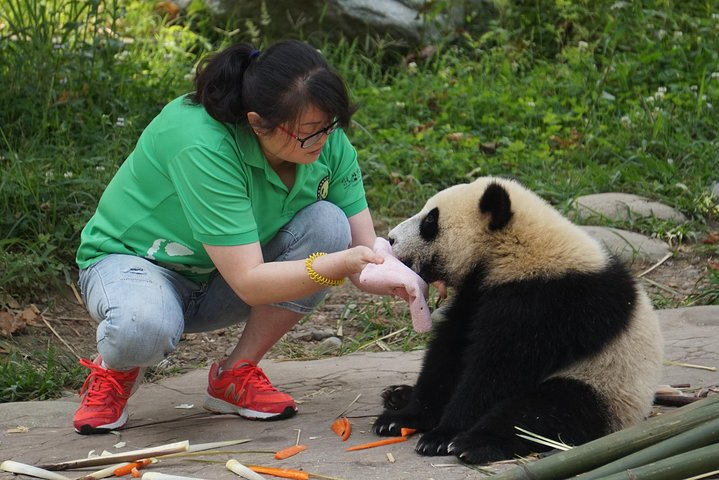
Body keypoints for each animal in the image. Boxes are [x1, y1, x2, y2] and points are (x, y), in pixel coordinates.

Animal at [373, 176, 663, 465]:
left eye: (430, 221)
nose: (391, 238)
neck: (517, 250)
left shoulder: (548, 303)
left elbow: (498, 370)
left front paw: (442, 435)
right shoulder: (478, 294)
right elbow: (449, 354)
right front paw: (402, 418)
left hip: (604, 384)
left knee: (543, 412)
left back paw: (475, 443)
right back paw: (398, 394)